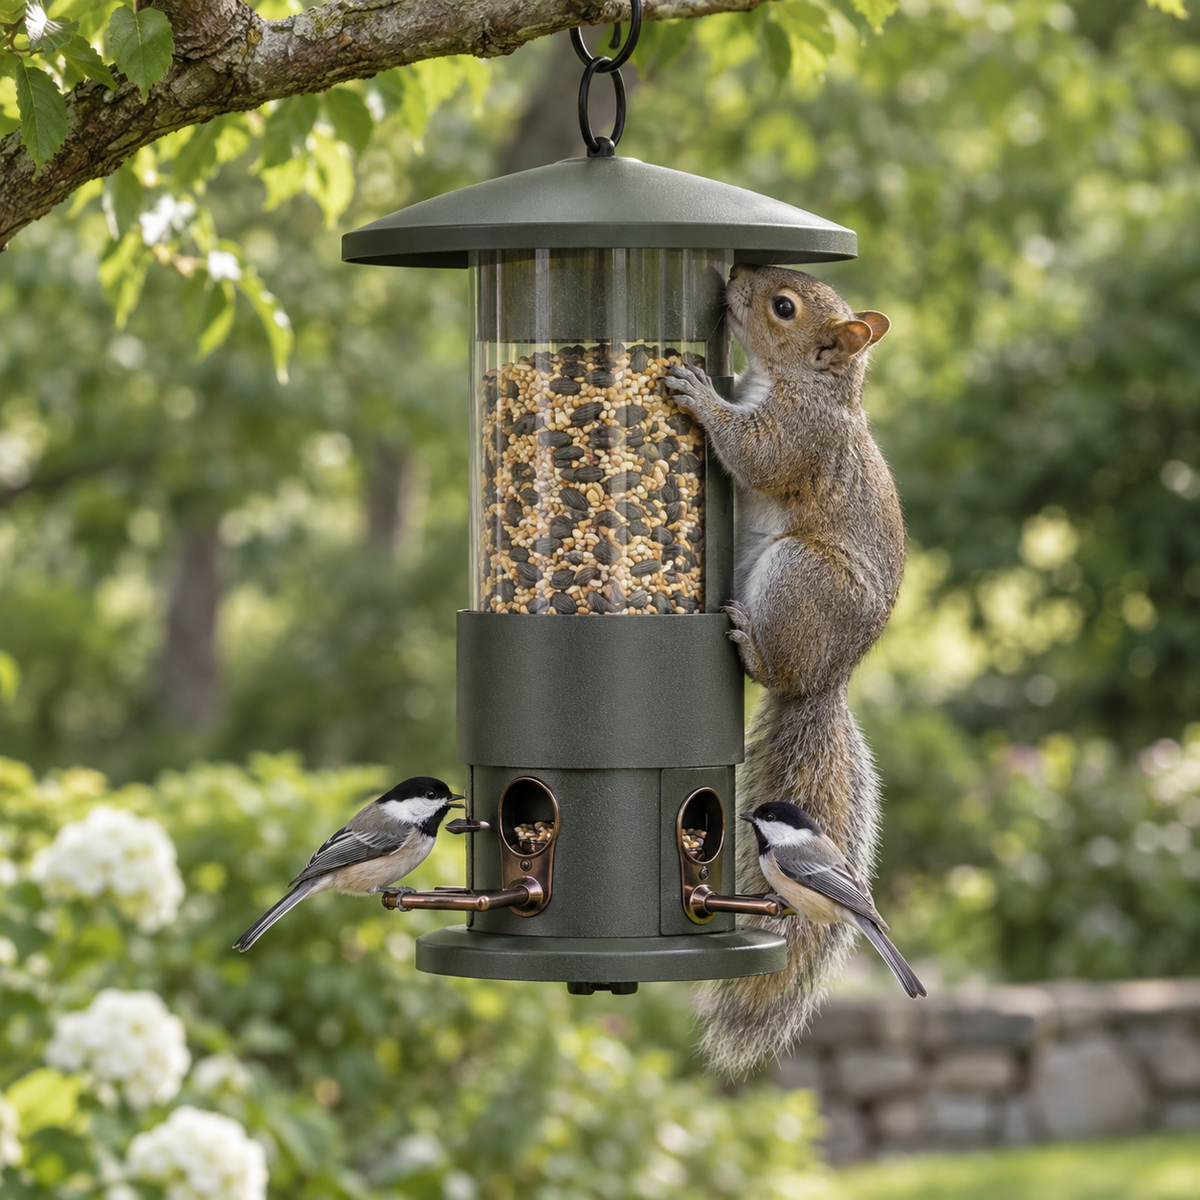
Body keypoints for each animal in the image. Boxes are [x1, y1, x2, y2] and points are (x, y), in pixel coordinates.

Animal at [664, 262, 905, 1076]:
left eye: (783, 306)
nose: (733, 274)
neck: (799, 381)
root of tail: (825, 680)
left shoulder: (801, 435)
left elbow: (757, 452)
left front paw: (700, 393)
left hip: (799, 574)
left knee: (771, 669)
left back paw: (747, 641)